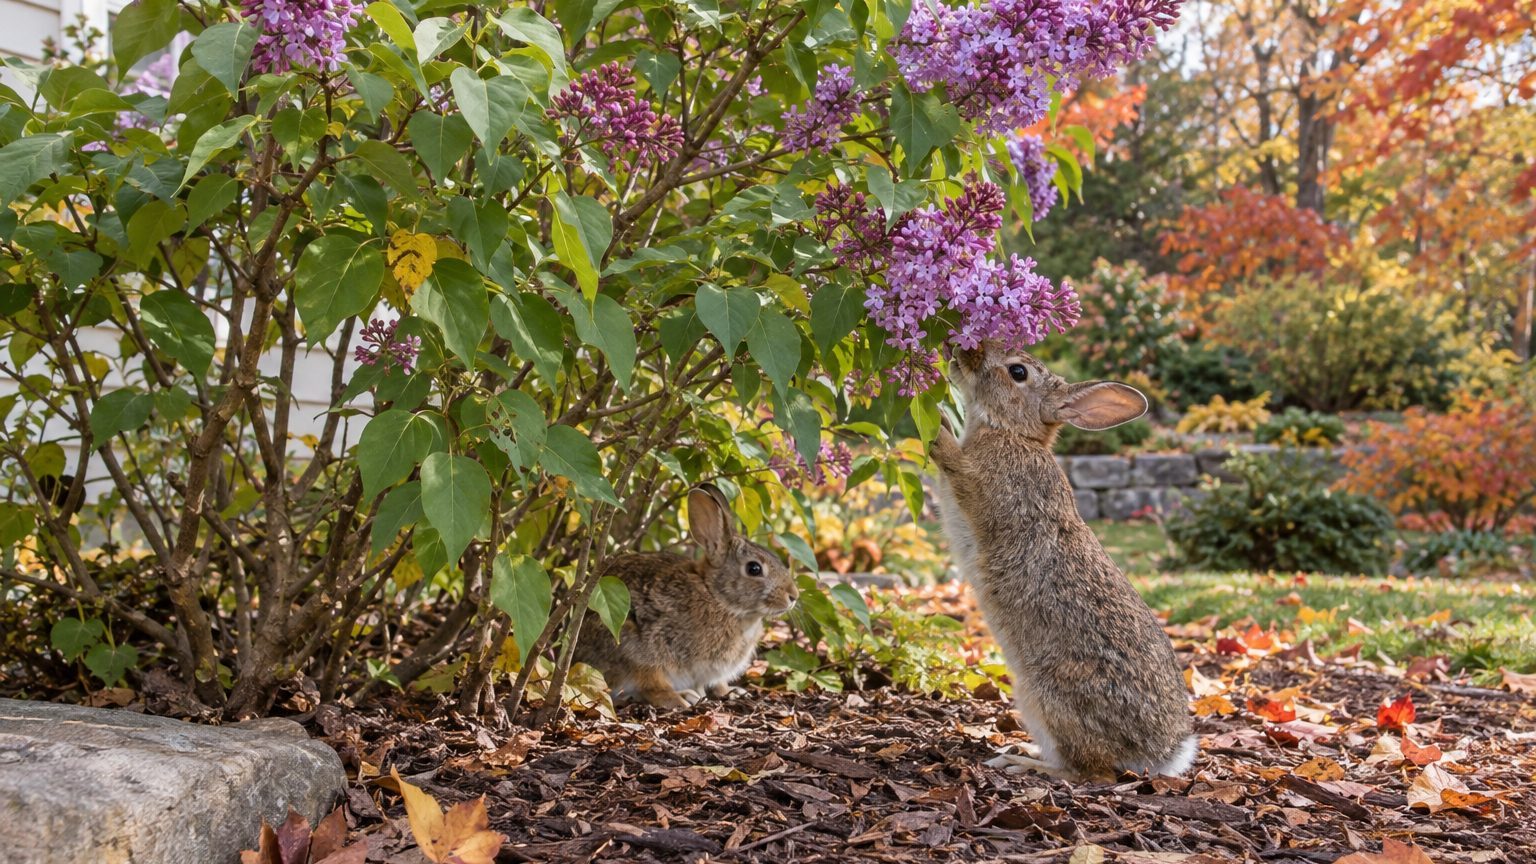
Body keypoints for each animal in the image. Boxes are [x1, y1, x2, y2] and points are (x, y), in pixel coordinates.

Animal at [575, 483, 800, 709]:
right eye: (754, 569)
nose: (793, 595)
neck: (718, 597)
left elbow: (719, 685)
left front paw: (732, 692)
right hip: (631, 648)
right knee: (649, 686)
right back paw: (682, 698)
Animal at [930, 343, 1197, 781]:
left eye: (1017, 372)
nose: (967, 352)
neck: (1014, 433)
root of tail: (1162, 754)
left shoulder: (984, 485)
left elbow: (955, 464)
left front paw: (936, 425)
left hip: (1047, 697)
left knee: (1089, 772)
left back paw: (1019, 763)